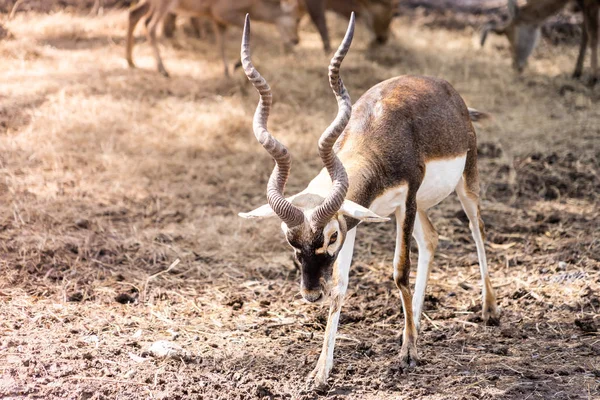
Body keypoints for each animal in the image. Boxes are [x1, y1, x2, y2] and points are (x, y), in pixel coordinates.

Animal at [127, 0, 304, 77]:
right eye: (297, 19)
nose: (296, 40)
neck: (253, 5)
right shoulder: (222, 12)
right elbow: (248, 35)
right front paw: (235, 65)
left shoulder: (217, 19)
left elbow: (221, 43)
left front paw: (226, 70)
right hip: (163, 4)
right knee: (149, 25)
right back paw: (162, 69)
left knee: (134, 13)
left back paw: (131, 61)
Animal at [241, 11, 500, 388]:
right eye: (289, 239)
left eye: (330, 236)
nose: (310, 294)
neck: (377, 134)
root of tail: (450, 92)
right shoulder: (356, 218)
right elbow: (341, 286)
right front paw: (321, 371)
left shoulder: (404, 199)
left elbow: (399, 272)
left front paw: (408, 355)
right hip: (414, 210)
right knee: (431, 238)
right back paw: (413, 324)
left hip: (465, 182)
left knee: (476, 227)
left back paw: (489, 311)